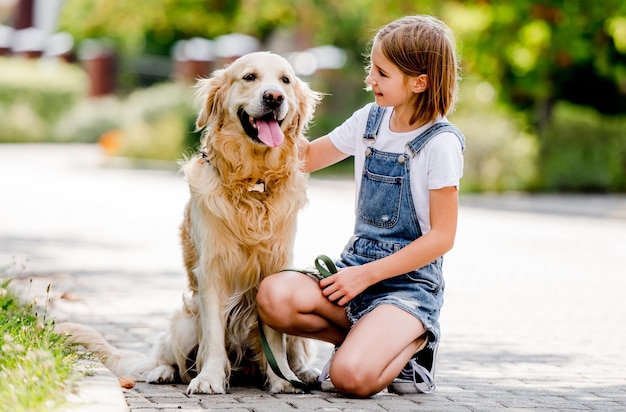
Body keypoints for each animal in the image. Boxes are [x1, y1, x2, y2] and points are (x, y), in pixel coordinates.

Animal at [56, 53, 322, 394]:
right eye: (249, 77)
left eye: (285, 81)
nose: (274, 97)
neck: (252, 182)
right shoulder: (211, 270)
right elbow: (214, 338)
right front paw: (209, 378)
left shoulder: (275, 269)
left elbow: (274, 341)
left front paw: (283, 380)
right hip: (183, 323)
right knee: (172, 359)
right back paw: (163, 372)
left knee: (296, 352)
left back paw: (305, 373)